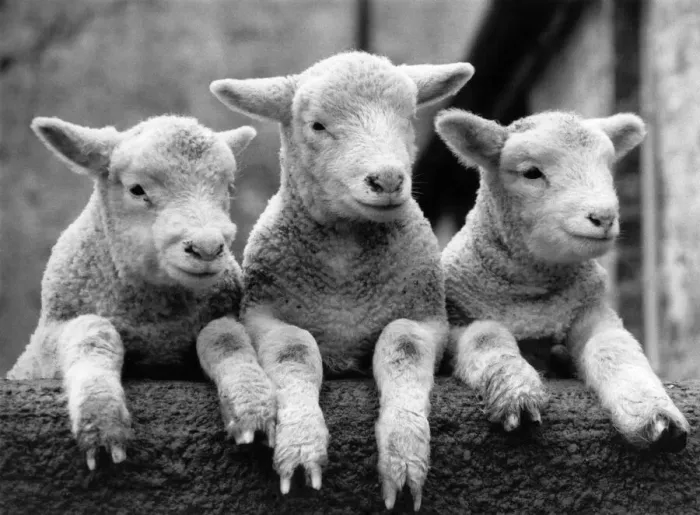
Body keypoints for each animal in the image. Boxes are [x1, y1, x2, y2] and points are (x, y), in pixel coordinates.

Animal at [7, 115, 277, 468]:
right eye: (137, 190)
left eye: (228, 188)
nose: (206, 249)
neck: (156, 330)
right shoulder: (47, 341)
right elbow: (93, 331)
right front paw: (101, 419)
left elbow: (224, 335)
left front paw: (251, 405)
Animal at [210, 51, 474, 509]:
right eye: (318, 125)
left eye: (408, 117)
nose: (388, 180)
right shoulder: (263, 315)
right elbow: (295, 349)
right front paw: (301, 446)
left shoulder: (427, 316)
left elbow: (402, 346)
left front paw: (404, 456)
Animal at [435, 108, 690, 451]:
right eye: (531, 172)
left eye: (607, 167)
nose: (604, 217)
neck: (533, 298)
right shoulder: (459, 321)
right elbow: (486, 338)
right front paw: (516, 394)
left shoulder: (591, 312)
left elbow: (614, 348)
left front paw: (655, 414)